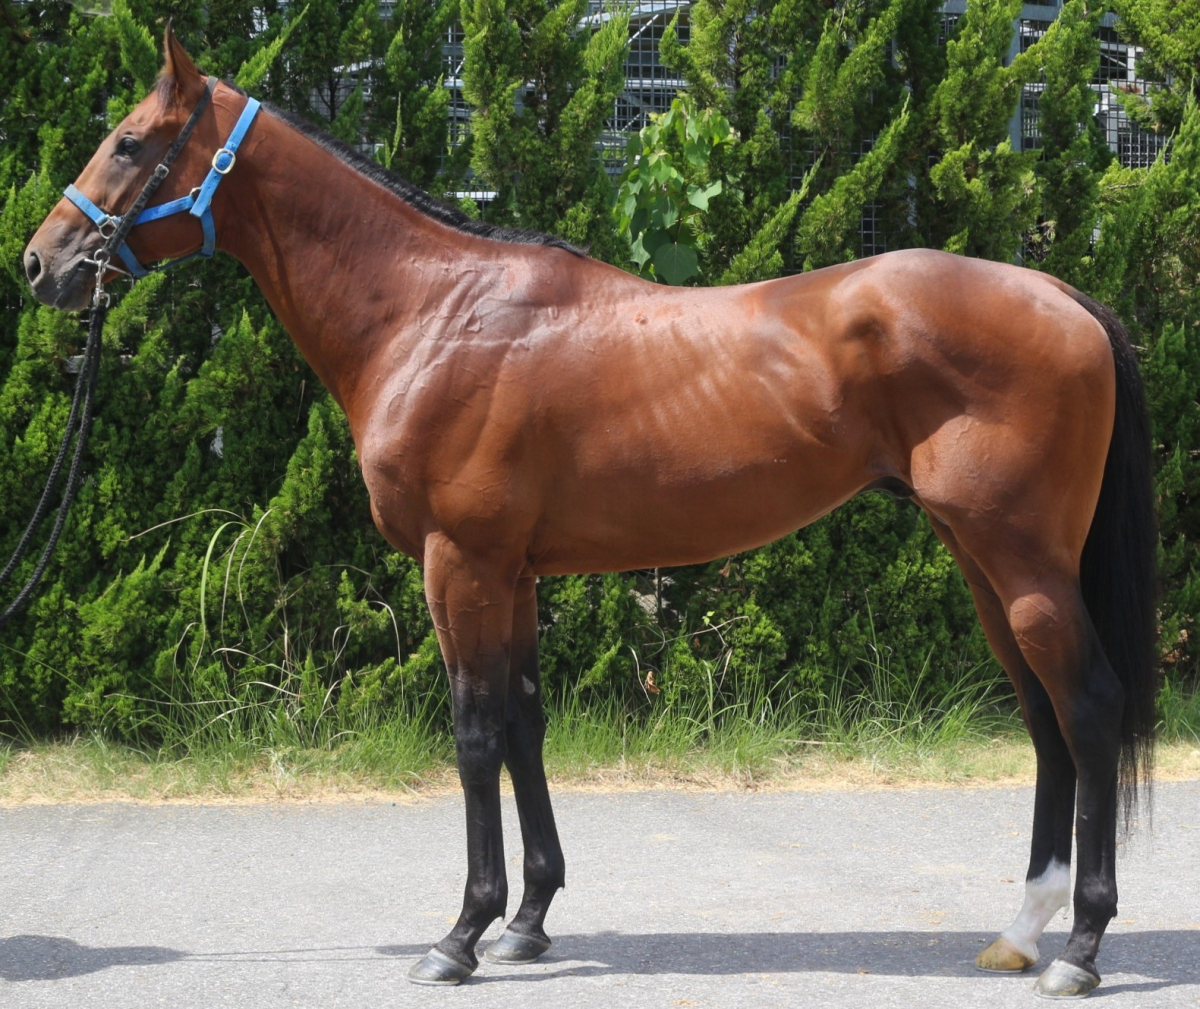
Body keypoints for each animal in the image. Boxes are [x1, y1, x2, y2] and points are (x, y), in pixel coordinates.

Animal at [23, 28, 1157, 998]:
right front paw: (526, 921)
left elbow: (475, 731)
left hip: (1022, 562)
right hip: (982, 560)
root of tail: (1063, 293)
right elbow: (527, 724)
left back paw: (1081, 948)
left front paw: (459, 935)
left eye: (129, 143)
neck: (431, 312)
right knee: (1045, 719)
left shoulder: (460, 563)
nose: (42, 263)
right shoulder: (515, 573)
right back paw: (1021, 931)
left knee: (1090, 708)